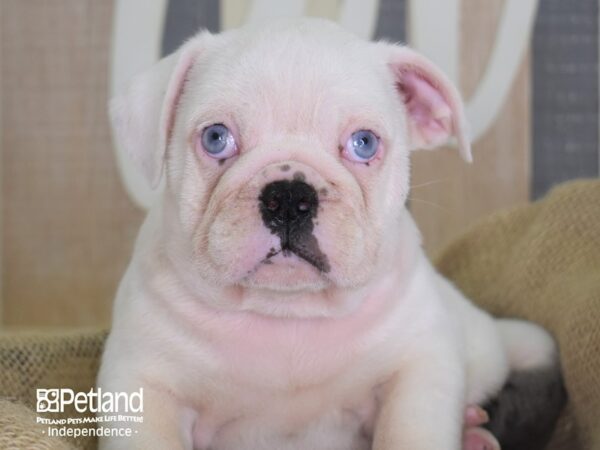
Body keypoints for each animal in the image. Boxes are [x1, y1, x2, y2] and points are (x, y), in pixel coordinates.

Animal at [97, 18, 564, 450]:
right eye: (215, 138)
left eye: (364, 143)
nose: (289, 196)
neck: (288, 311)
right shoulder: (141, 386)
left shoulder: (419, 368)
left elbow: (408, 431)